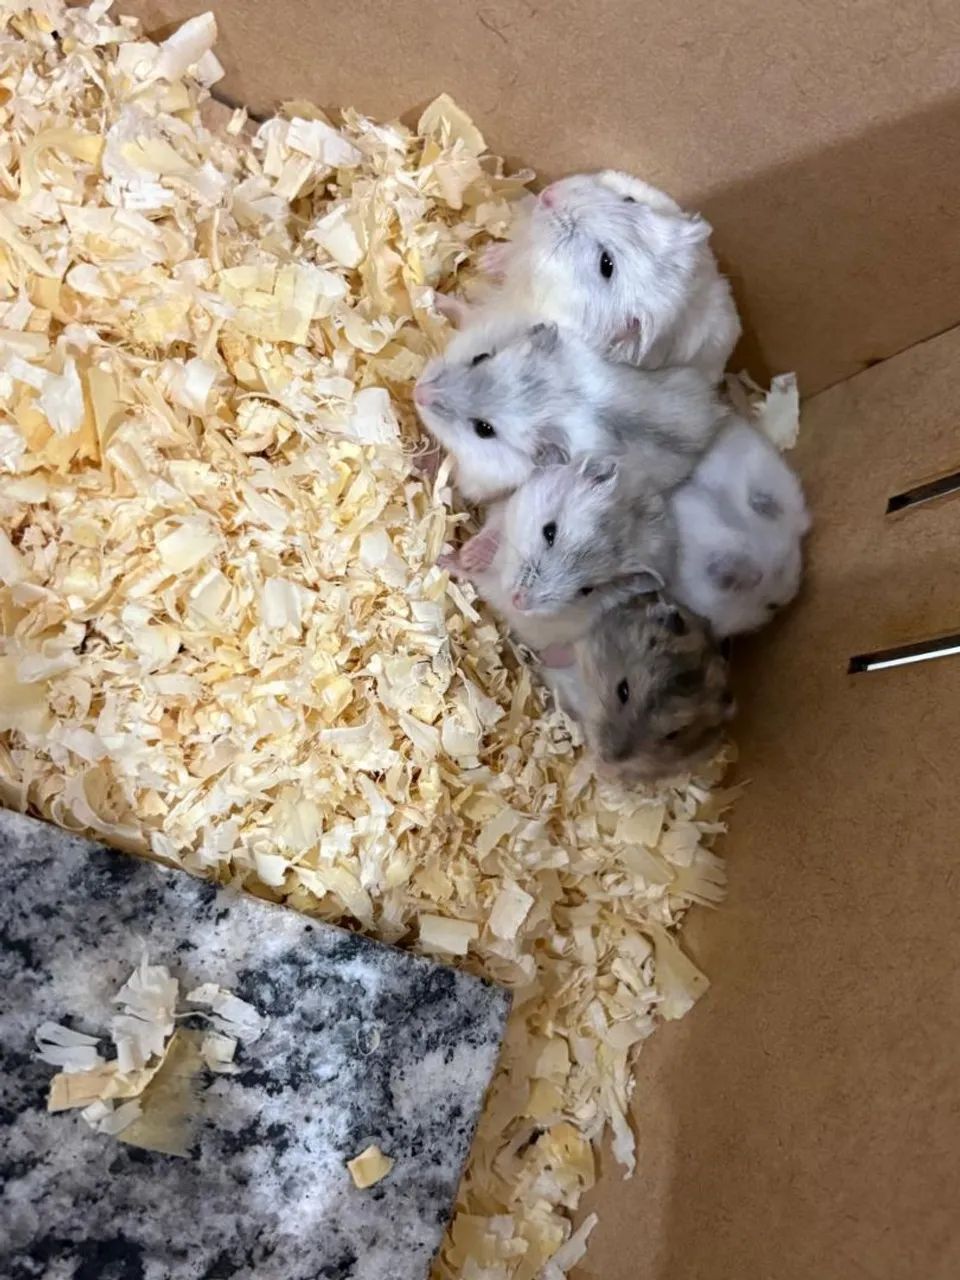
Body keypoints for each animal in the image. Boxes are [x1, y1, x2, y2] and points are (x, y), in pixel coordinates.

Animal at [443, 454, 675, 649]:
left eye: (587, 590)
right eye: (549, 532)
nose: (519, 603)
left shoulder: (495, 590)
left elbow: (478, 579)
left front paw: (446, 560)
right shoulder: (506, 507)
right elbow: (492, 531)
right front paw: (468, 556)